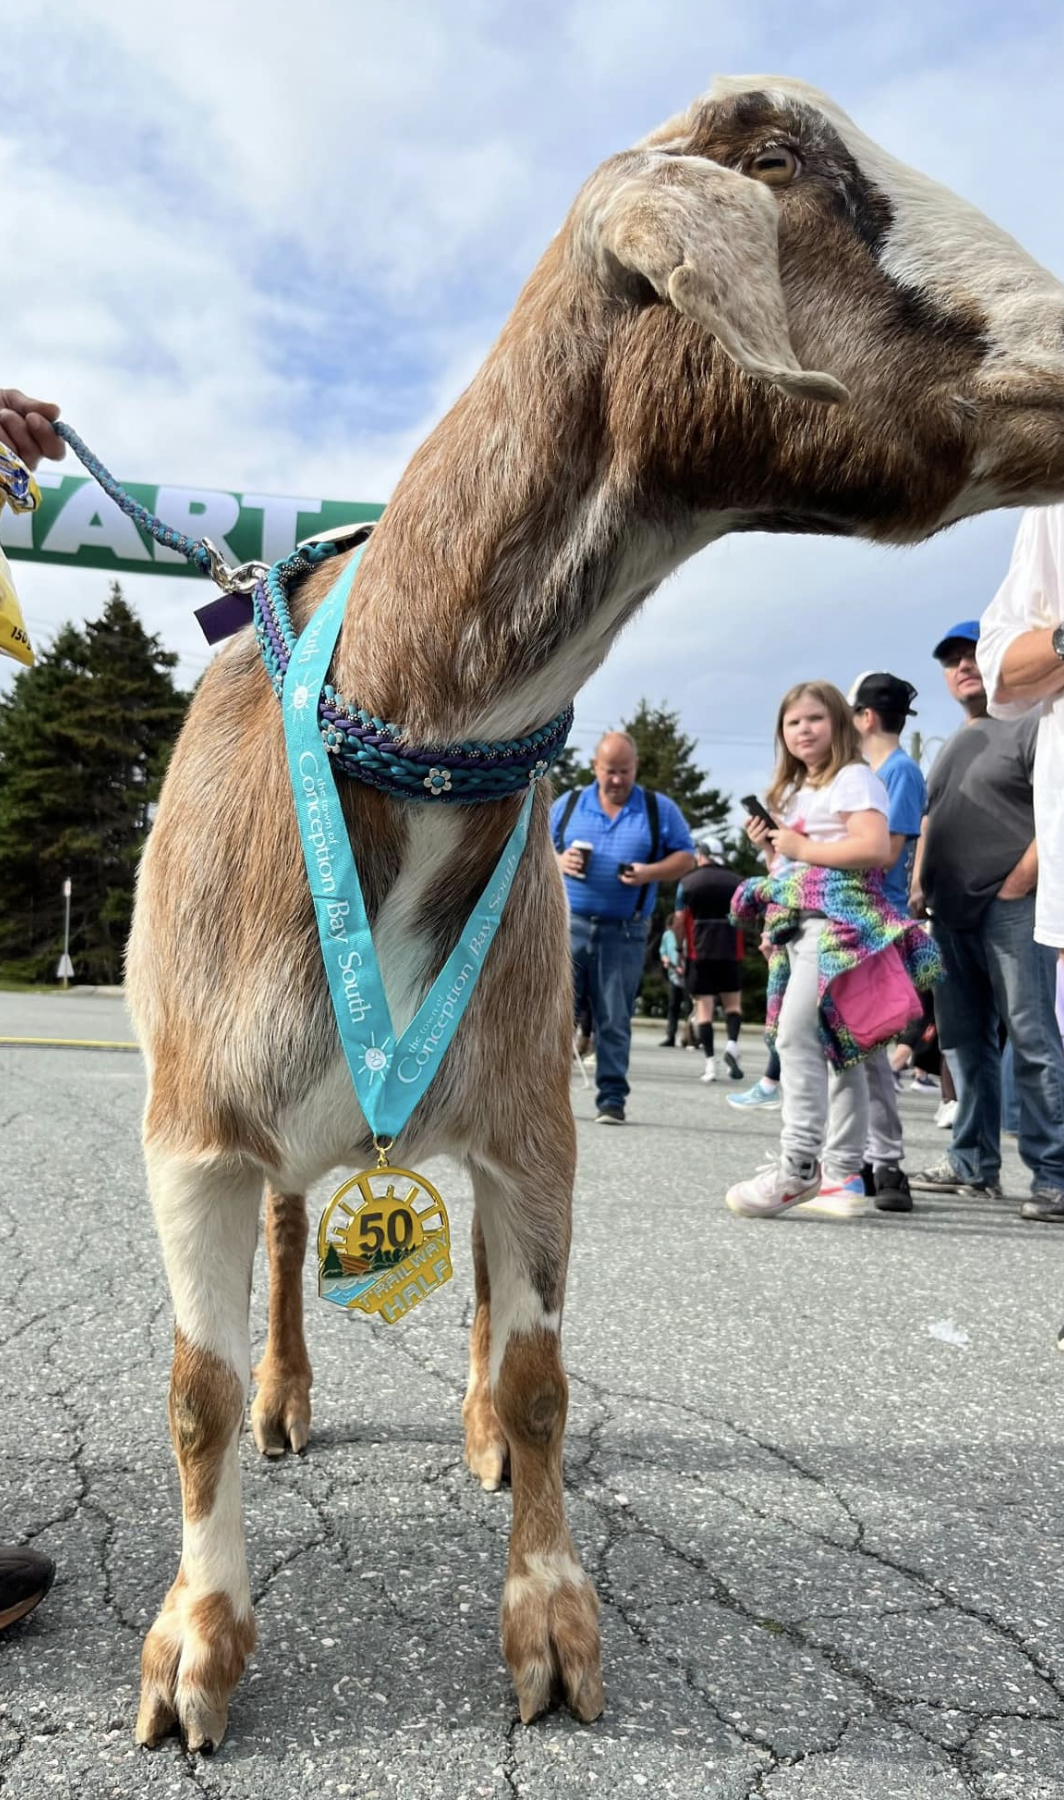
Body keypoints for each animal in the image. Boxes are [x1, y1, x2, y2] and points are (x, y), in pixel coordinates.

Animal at [126, 77, 1064, 1749]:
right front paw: (195, 1648)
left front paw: (552, 1628)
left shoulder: (530, 1117)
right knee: (295, 1246)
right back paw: (298, 1397)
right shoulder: (192, 1128)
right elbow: (198, 1392)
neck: (403, 727)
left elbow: (547, 1373)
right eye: (785, 164)